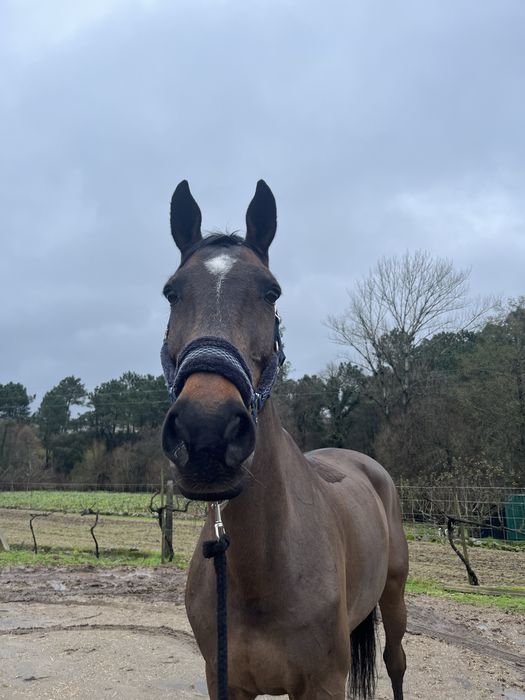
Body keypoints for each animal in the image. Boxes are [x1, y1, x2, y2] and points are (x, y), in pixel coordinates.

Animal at [160, 180, 408, 699]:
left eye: (271, 292)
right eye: (172, 292)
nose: (206, 431)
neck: (263, 570)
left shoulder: (322, 684)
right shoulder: (225, 681)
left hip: (395, 595)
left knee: (395, 662)